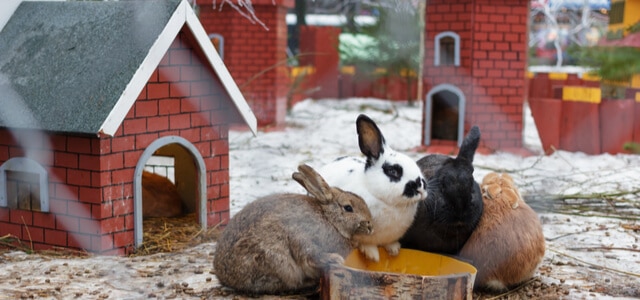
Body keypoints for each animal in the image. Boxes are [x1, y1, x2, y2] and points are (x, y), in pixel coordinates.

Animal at [214, 163, 376, 294]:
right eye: (348, 208)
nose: (370, 225)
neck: (329, 219)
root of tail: (224, 277)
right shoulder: (303, 238)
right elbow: (310, 255)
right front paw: (335, 259)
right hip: (276, 261)